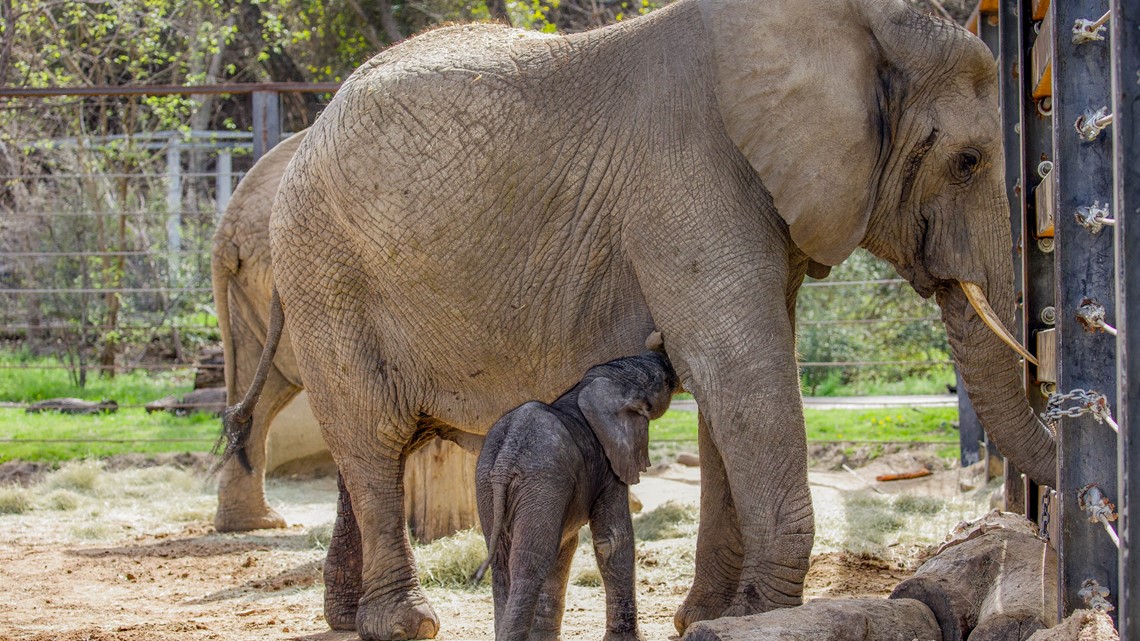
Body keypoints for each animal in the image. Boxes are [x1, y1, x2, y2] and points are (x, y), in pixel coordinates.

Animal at [474, 346, 674, 638]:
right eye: (665, 382)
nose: (664, 355)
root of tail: (507, 453)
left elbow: (565, 545)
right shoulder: (608, 464)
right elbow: (613, 539)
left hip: (488, 483)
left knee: (501, 559)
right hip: (542, 480)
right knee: (529, 562)